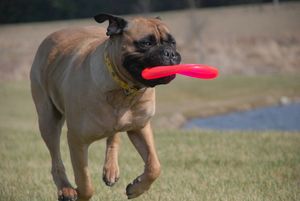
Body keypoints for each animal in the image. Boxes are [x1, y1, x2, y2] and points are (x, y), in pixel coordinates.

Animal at [30, 13, 180, 200]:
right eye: (146, 43)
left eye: (172, 42)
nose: (170, 53)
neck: (124, 90)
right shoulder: (77, 140)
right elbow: (85, 182)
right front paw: (81, 194)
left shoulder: (140, 127)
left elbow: (154, 166)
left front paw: (137, 188)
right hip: (48, 120)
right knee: (56, 159)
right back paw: (65, 188)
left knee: (114, 137)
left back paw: (111, 169)